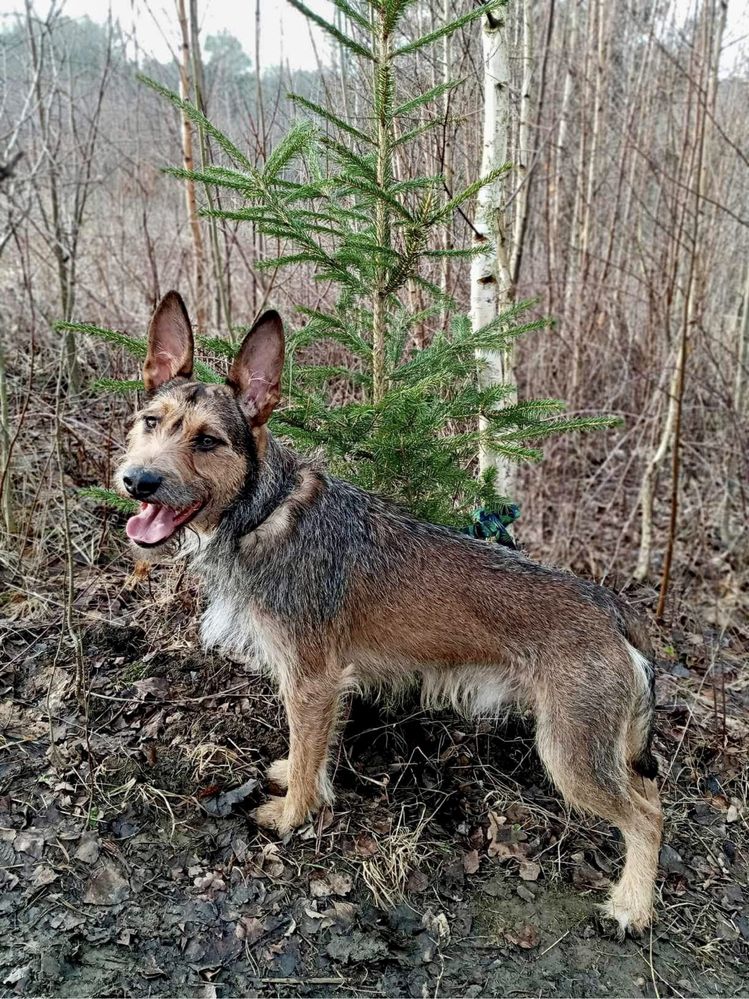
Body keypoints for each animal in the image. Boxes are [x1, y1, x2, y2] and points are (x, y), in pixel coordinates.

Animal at [117, 292, 660, 932]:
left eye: (207, 441)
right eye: (151, 422)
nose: (137, 481)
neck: (261, 512)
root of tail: (611, 607)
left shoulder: (312, 681)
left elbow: (309, 752)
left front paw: (292, 815)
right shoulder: (319, 686)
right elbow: (311, 751)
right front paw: (297, 779)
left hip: (571, 754)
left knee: (647, 818)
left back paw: (632, 905)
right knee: (652, 795)